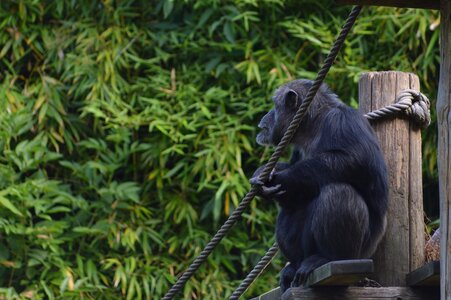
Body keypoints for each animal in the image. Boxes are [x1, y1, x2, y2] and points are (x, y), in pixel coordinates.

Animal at [251, 79, 388, 290]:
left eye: (274, 105)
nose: (265, 116)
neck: (312, 125)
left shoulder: (343, 121)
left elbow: (357, 159)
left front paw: (280, 178)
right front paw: (261, 174)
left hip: (362, 250)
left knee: (339, 192)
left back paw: (327, 258)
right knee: (289, 211)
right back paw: (293, 267)